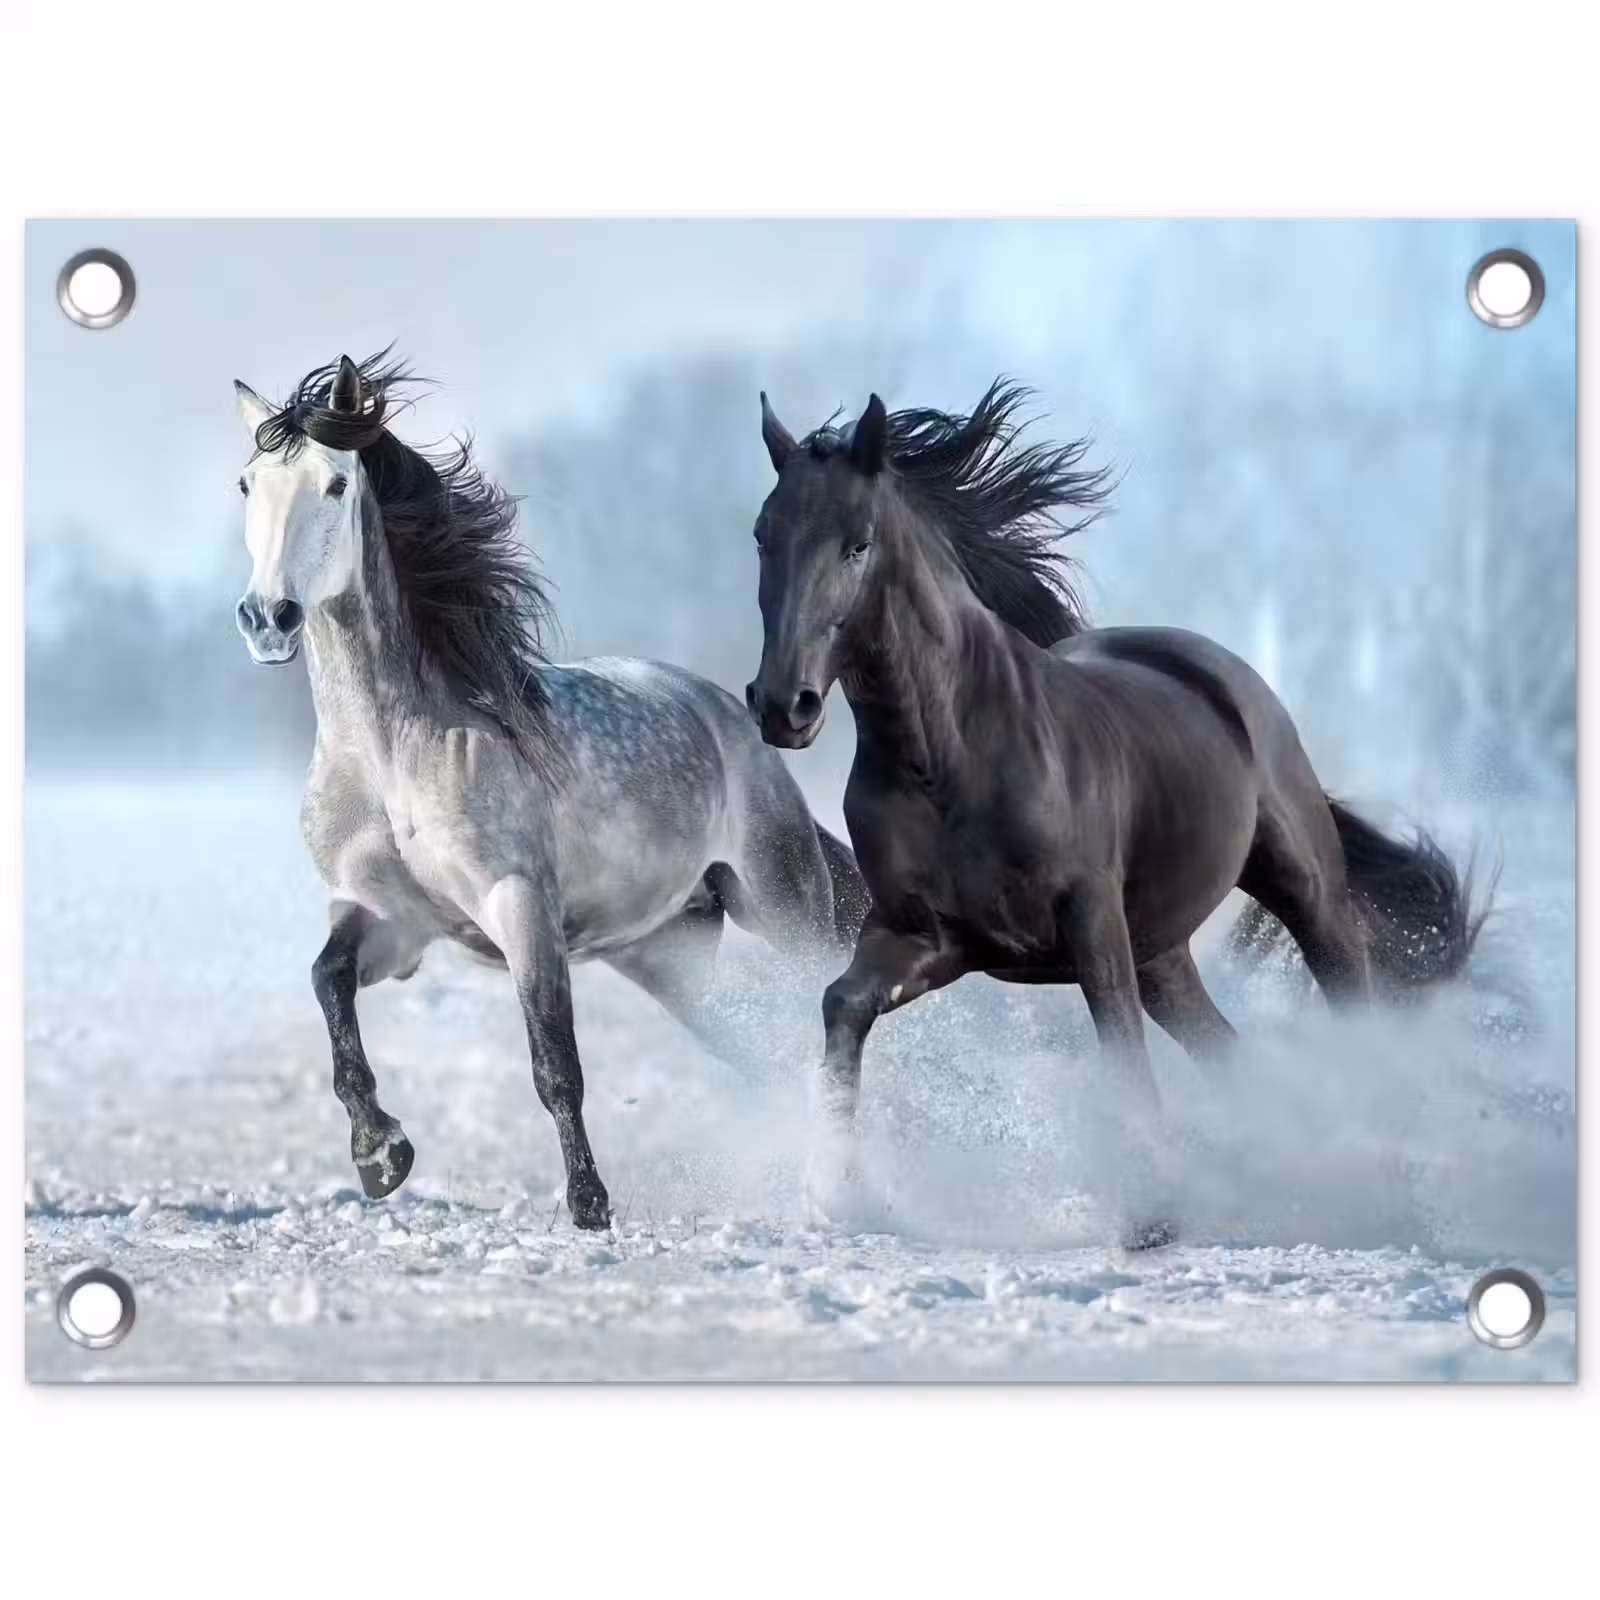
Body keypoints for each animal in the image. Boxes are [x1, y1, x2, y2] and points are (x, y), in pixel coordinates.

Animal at [232, 351, 867, 1230]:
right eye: (247, 484)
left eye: (333, 484)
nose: (269, 618)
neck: (393, 755)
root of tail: (731, 717)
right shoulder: (390, 919)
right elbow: (328, 984)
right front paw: (381, 1155)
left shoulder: (520, 906)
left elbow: (554, 1063)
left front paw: (589, 1206)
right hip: (666, 955)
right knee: (759, 1052)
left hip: (785, 907)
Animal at [746, 380, 1482, 1233]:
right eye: (763, 536)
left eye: (857, 545)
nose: (783, 706)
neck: (948, 756)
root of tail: (1219, 671)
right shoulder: (927, 935)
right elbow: (843, 1005)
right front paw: (837, 1191)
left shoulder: (1090, 920)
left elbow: (1121, 1052)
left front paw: (1152, 1216)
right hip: (1162, 951)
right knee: (1226, 1050)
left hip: (1303, 889)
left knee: (1347, 995)